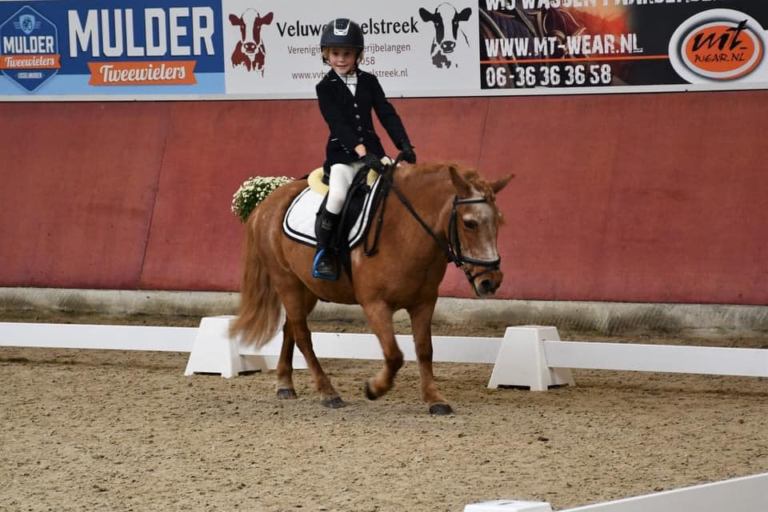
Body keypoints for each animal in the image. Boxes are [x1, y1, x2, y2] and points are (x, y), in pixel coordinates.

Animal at [231, 157, 512, 416]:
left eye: (499, 222)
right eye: (469, 223)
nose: (490, 281)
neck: (405, 231)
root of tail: (265, 205)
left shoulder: (424, 302)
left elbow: (424, 350)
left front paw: (435, 399)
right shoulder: (375, 305)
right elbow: (394, 354)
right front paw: (374, 389)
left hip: (307, 289)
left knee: (290, 328)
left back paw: (285, 385)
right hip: (286, 282)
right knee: (302, 335)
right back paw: (328, 392)